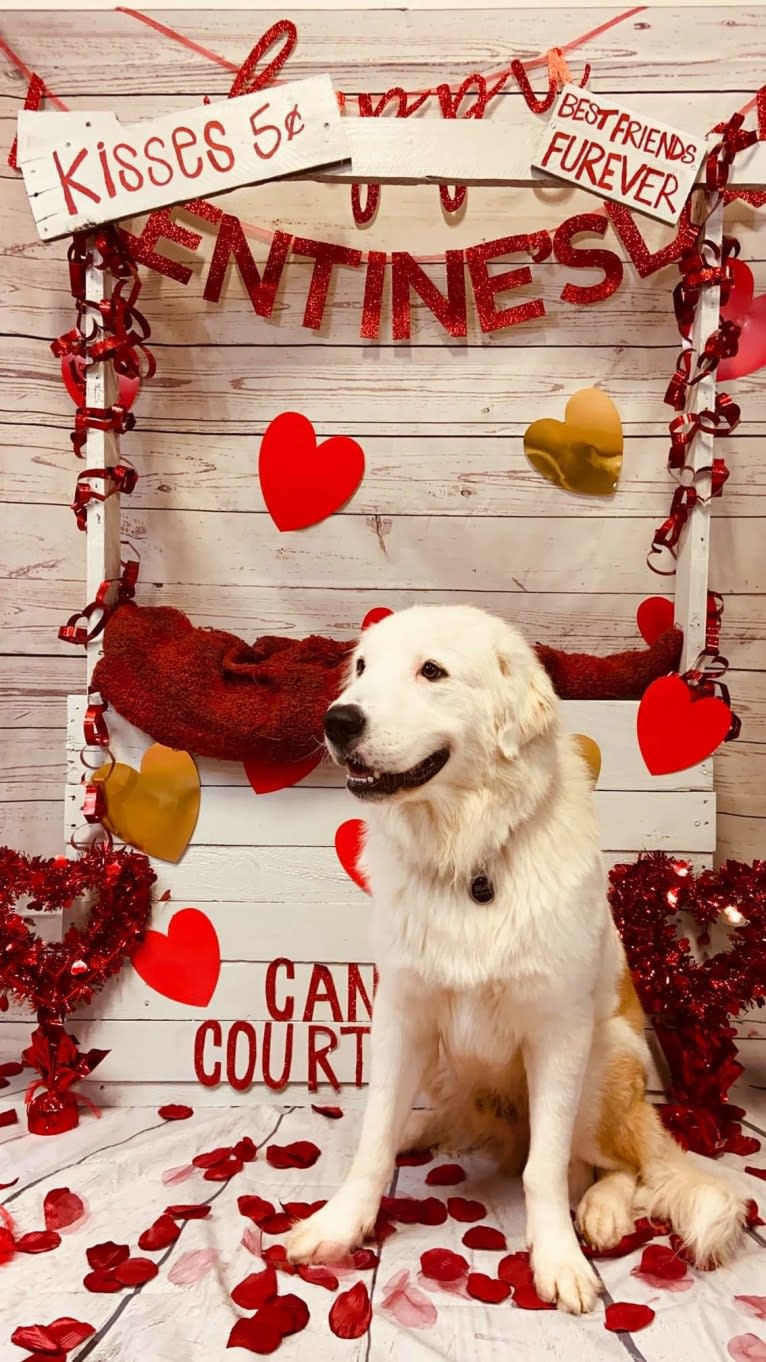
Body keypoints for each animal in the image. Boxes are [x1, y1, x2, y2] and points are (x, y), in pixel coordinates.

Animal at [284, 604, 741, 1307]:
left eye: (432, 671)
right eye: (361, 667)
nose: (339, 719)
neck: (472, 857)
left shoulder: (558, 1036)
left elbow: (544, 1171)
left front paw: (558, 1259)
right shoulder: (402, 1016)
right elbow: (373, 1141)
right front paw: (341, 1223)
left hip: (605, 1062)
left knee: (618, 1166)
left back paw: (603, 1212)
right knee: (446, 1118)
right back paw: (421, 1130)